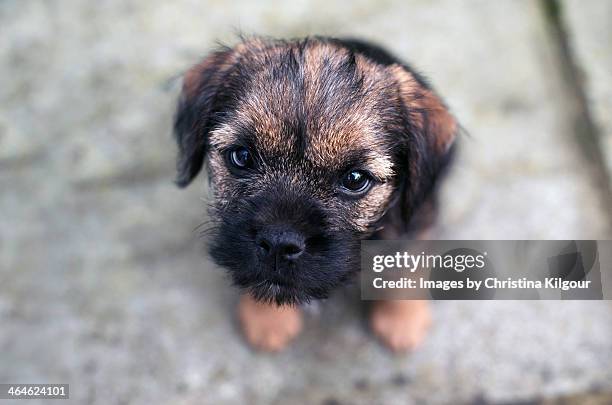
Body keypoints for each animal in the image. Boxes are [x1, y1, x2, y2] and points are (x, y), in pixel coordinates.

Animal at [172, 37, 454, 350]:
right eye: (242, 156)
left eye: (355, 179)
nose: (279, 243)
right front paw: (267, 319)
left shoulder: (417, 219)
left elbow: (407, 263)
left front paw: (402, 321)